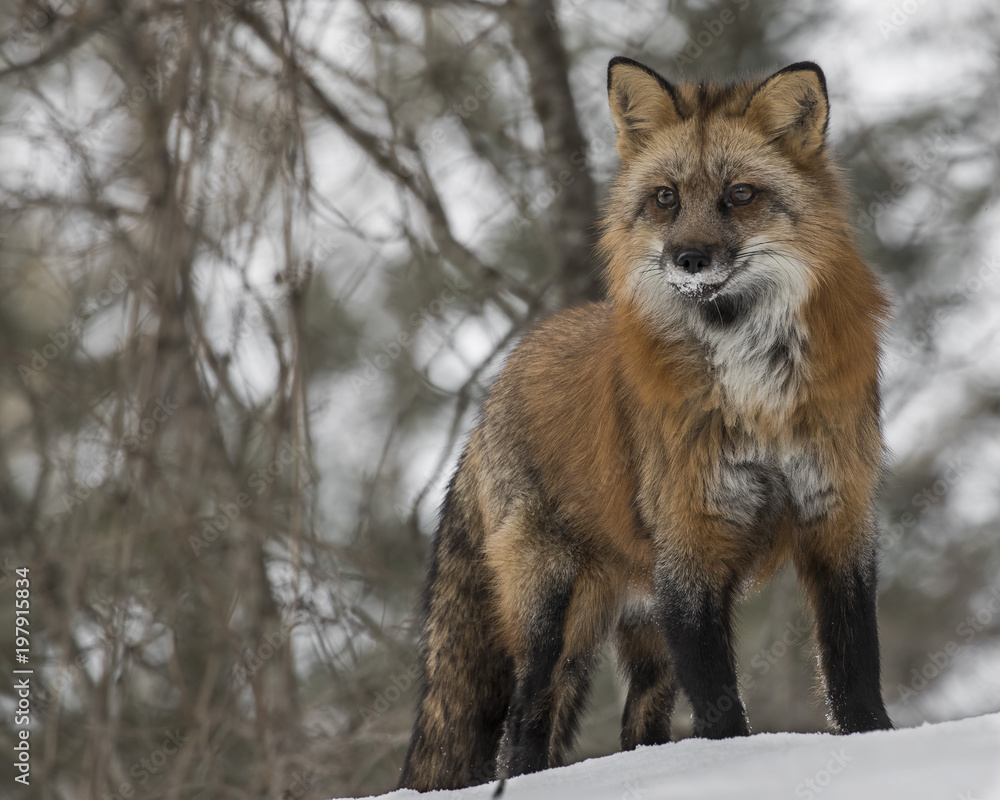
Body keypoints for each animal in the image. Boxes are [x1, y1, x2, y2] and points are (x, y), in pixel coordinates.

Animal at [398, 57, 892, 792]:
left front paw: (880, 746)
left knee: (638, 727)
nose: (688, 258)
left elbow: (855, 674)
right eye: (665, 198)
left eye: (740, 194)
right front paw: (734, 767)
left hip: (644, 630)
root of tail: (497, 387)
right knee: (524, 723)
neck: (752, 387)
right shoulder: (691, 544)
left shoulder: (836, 519)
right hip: (551, 613)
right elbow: (719, 706)